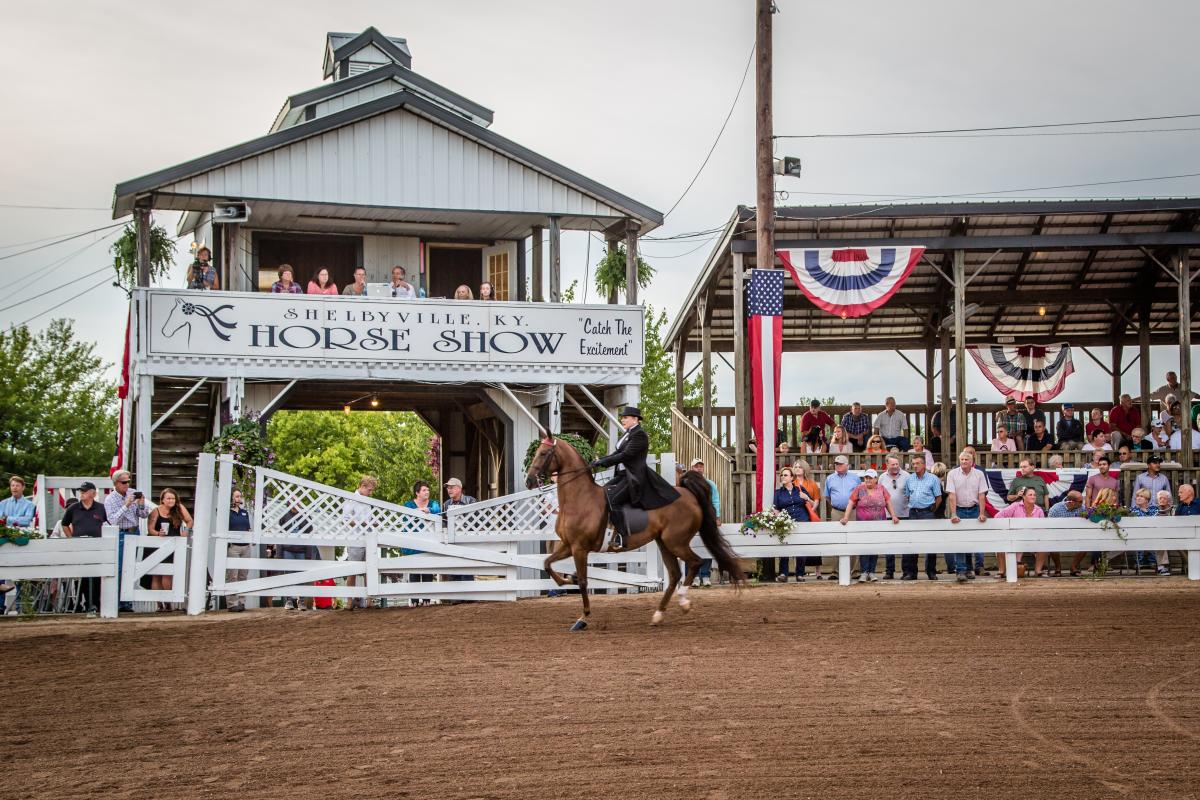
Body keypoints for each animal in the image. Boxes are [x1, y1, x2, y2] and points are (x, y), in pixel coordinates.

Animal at [525, 431, 739, 633]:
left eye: (543, 453)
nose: (529, 481)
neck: (579, 498)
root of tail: (688, 494)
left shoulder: (579, 548)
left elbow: (584, 582)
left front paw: (583, 618)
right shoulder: (568, 545)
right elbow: (547, 563)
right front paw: (566, 579)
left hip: (675, 542)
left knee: (695, 563)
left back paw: (684, 602)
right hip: (664, 543)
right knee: (675, 574)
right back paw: (658, 615)